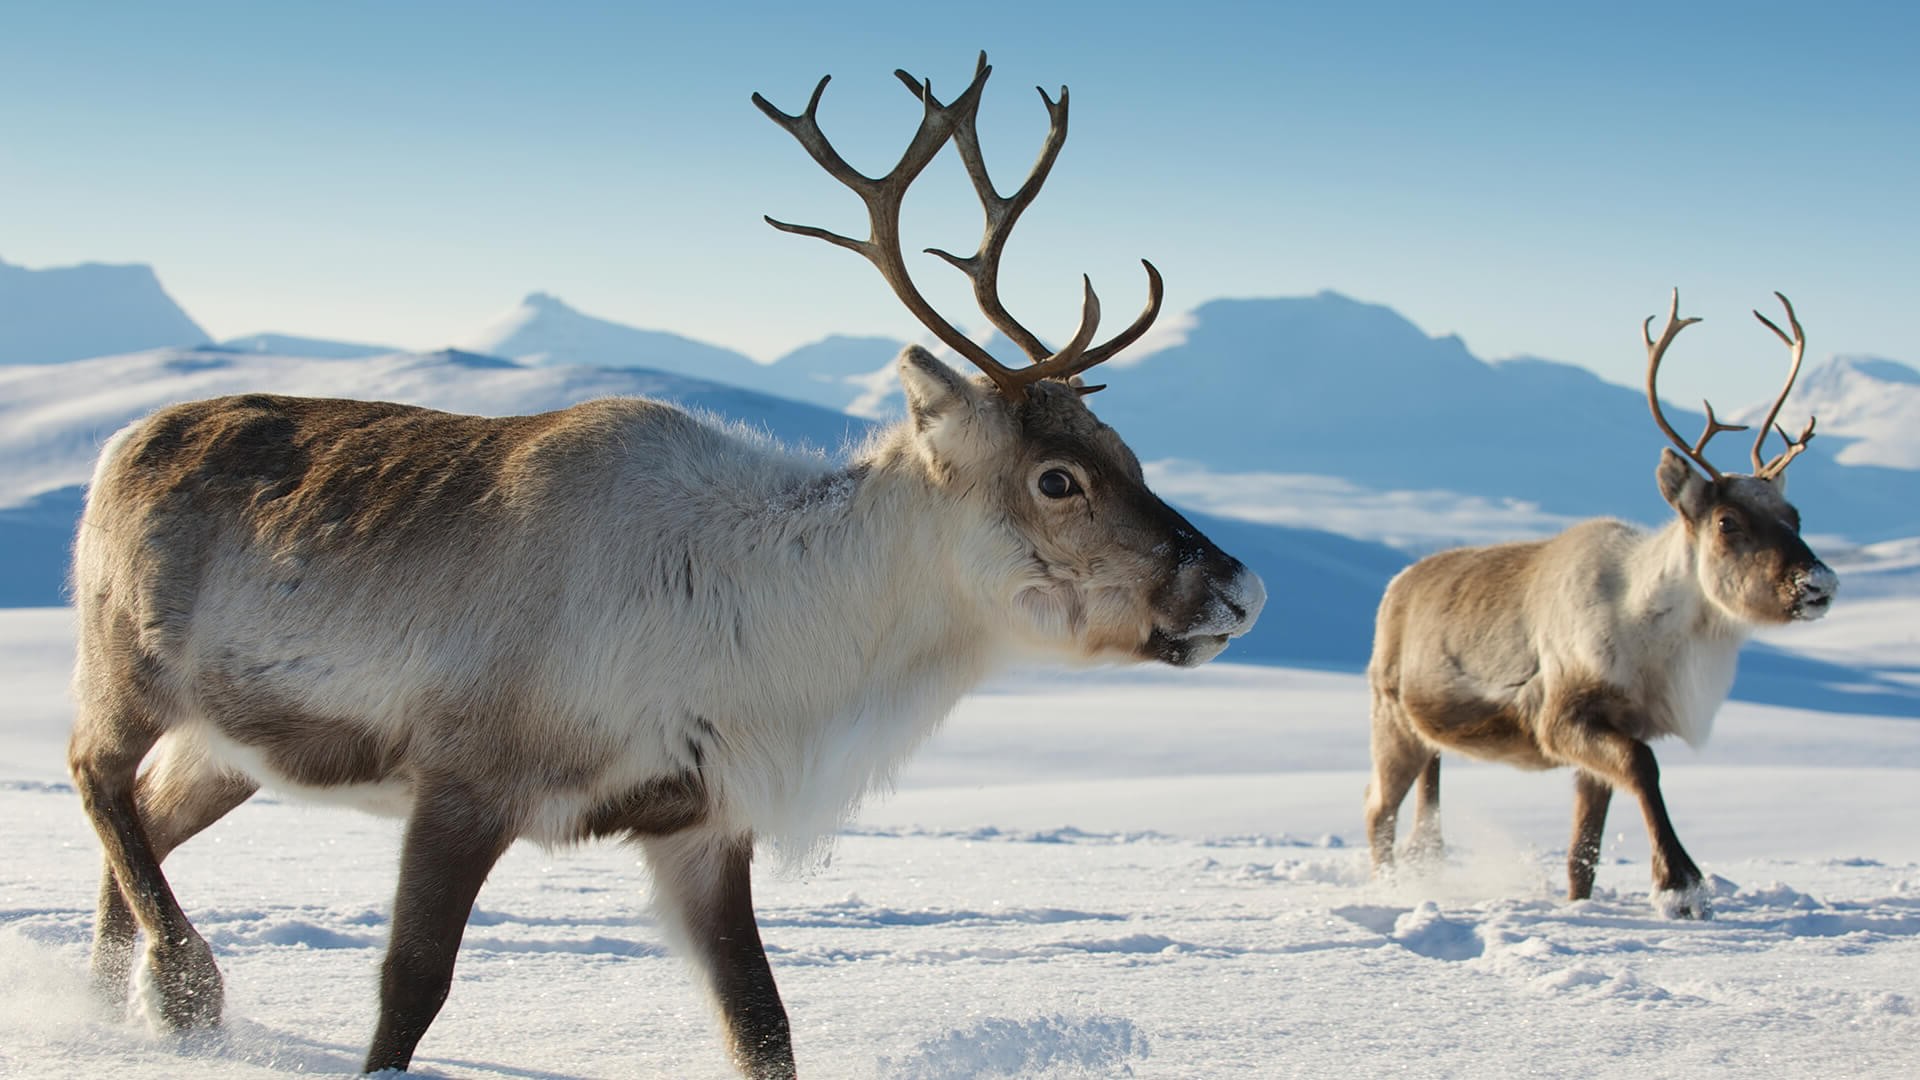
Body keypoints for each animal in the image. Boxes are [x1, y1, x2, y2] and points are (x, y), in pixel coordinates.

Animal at [66, 54, 1264, 1078]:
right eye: (1058, 478)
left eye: (1130, 454)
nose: (1240, 587)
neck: (776, 630)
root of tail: (122, 440)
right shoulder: (467, 777)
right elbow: (410, 989)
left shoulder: (698, 822)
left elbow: (763, 1023)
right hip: (129, 668)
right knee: (96, 777)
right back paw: (183, 989)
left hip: (234, 746)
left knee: (146, 826)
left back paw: (113, 1008)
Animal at [1363, 290, 1835, 920]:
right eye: (1727, 521)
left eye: (1795, 516)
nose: (1818, 583)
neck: (1651, 634)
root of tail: (1397, 585)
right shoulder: (1562, 718)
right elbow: (1644, 766)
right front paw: (1681, 886)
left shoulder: (1611, 732)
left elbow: (1582, 851)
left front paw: (1584, 904)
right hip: (1392, 720)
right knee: (1376, 810)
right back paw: (1391, 891)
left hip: (1426, 737)